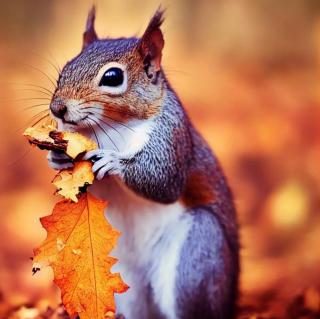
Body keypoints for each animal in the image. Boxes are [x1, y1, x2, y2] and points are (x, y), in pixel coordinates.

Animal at [47, 6, 238, 319]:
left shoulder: (171, 134)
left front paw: (114, 162)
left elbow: (164, 183)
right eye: (66, 67)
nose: (57, 108)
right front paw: (57, 156)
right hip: (122, 277)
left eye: (113, 77)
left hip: (198, 256)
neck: (109, 129)